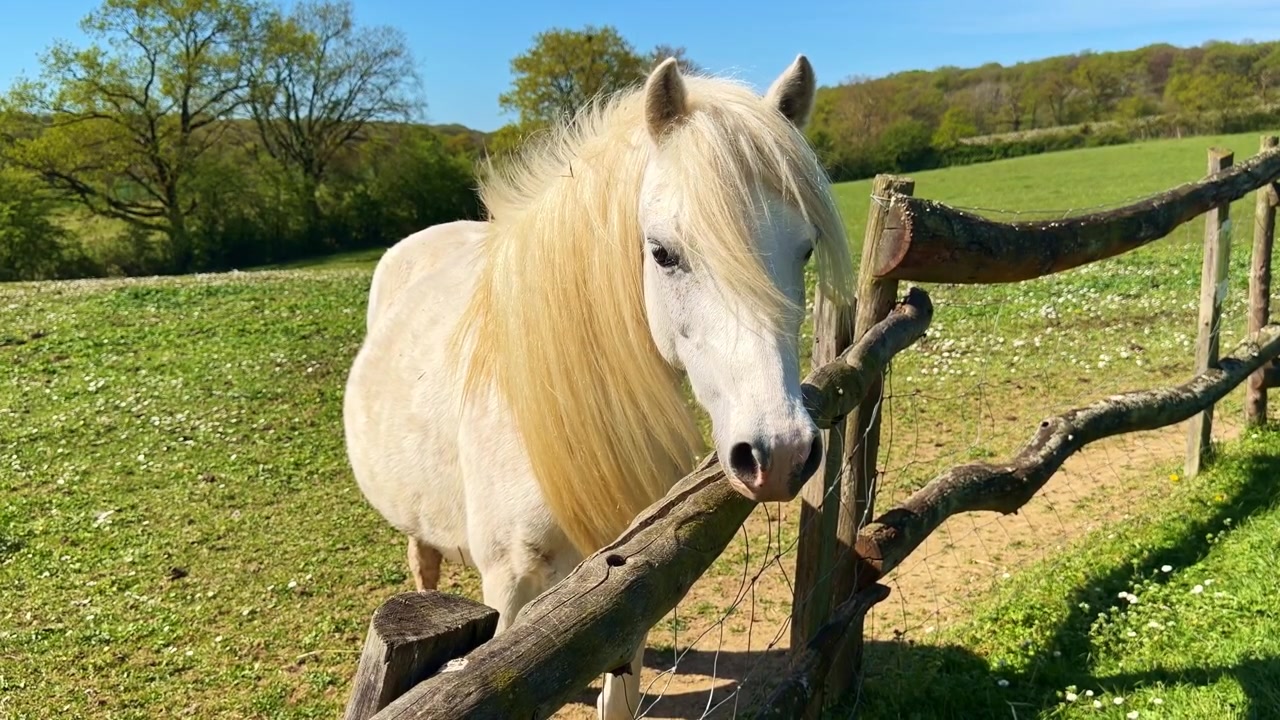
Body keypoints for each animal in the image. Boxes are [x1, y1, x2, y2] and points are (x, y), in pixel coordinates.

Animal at [342, 54, 854, 718]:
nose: (782, 452)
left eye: (805, 249)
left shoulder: (630, 581)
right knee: (422, 562)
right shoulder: (508, 591)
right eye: (662, 252)